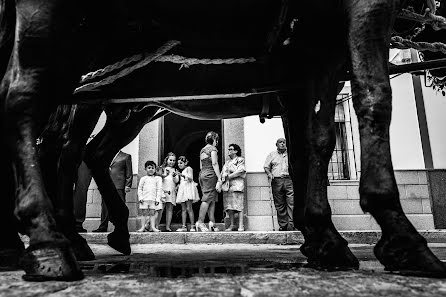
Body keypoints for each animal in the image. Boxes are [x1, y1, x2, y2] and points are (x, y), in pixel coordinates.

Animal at [0, 0, 446, 280]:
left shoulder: (308, 68)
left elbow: (310, 147)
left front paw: (320, 237)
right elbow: (374, 98)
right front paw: (401, 237)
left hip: (123, 100)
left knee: (84, 149)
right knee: (36, 117)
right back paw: (50, 242)